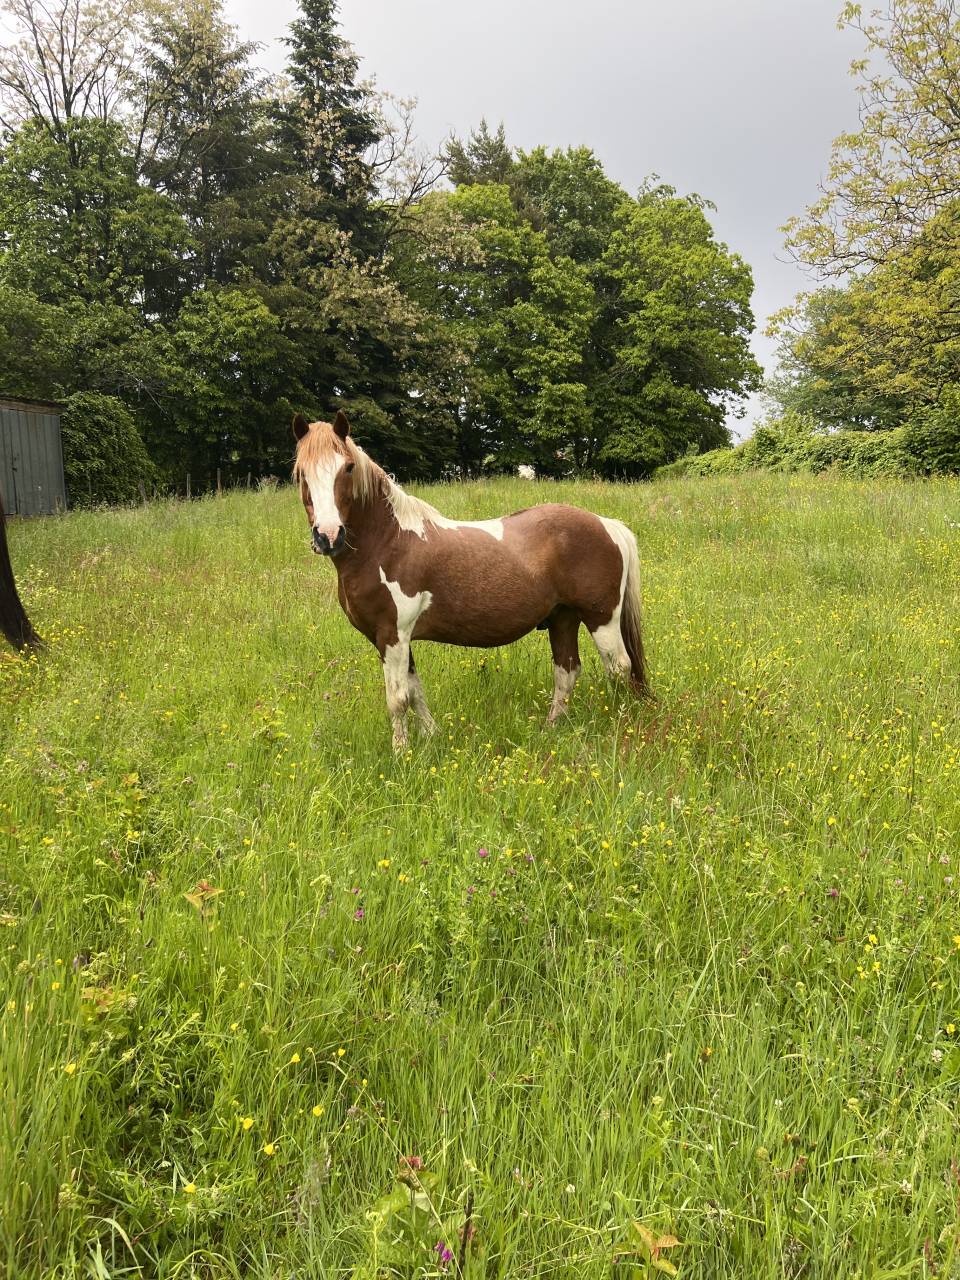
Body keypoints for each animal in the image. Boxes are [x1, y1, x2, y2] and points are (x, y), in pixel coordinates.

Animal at [292, 412, 649, 748]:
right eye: (301, 473)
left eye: (348, 468)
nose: (328, 535)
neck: (388, 543)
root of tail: (607, 524)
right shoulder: (394, 639)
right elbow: (415, 690)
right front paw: (432, 737)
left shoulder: (392, 635)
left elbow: (398, 699)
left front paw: (401, 754)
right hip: (563, 617)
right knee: (567, 671)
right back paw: (550, 729)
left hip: (601, 618)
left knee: (619, 667)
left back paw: (619, 728)